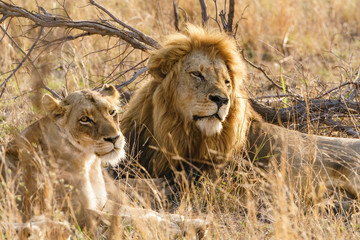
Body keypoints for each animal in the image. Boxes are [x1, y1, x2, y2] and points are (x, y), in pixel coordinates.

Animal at [121, 25, 360, 199]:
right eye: (197, 74)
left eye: (227, 82)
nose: (221, 100)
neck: (176, 129)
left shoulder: (201, 177)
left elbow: (134, 183)